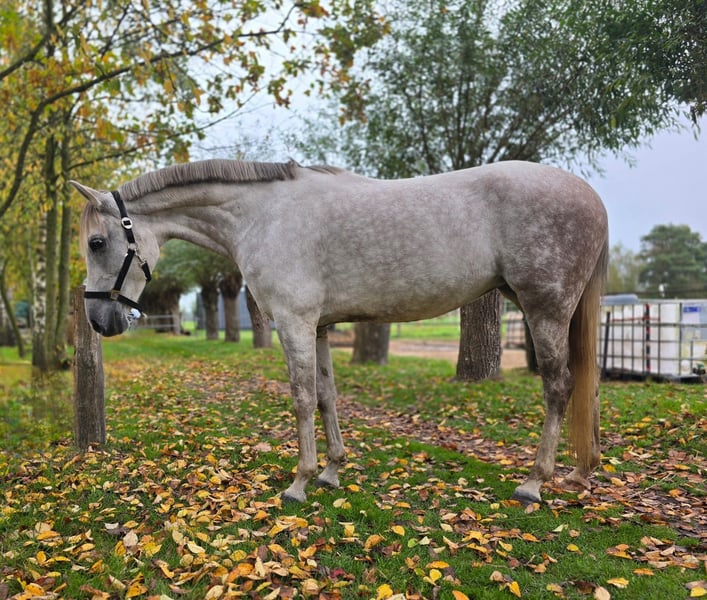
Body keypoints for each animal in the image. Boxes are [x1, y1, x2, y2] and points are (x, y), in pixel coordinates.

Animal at [72, 158, 609, 505]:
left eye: (97, 242)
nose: (99, 321)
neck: (262, 215)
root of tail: (591, 198)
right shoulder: (321, 328)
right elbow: (328, 396)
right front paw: (331, 471)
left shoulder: (294, 323)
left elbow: (302, 398)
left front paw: (300, 482)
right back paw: (580, 473)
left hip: (545, 309)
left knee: (559, 387)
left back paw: (535, 483)